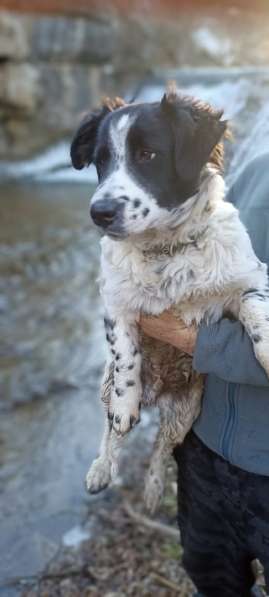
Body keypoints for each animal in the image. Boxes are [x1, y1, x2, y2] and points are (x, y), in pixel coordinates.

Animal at [69, 88, 268, 512]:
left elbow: (256, 309)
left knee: (161, 448)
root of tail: (160, 392)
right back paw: (101, 469)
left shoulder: (250, 278)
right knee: (110, 432)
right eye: (100, 161)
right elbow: (126, 356)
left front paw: (268, 354)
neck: (166, 250)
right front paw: (126, 406)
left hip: (185, 413)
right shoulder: (115, 304)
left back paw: (153, 488)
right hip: (107, 389)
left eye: (148, 154)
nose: (99, 213)